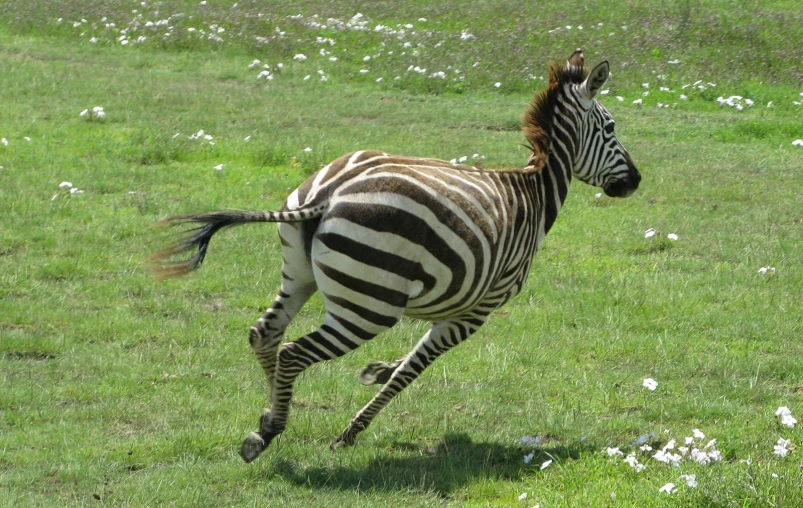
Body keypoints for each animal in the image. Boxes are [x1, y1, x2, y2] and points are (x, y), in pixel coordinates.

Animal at [152, 49, 640, 462]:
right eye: (611, 128)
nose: (635, 181)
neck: (533, 191)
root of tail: (329, 194)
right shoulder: (476, 310)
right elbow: (415, 368)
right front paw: (351, 430)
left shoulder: (451, 306)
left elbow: (408, 359)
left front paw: (377, 370)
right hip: (370, 306)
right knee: (293, 353)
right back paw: (269, 431)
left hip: (300, 275)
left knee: (264, 334)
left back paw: (269, 413)